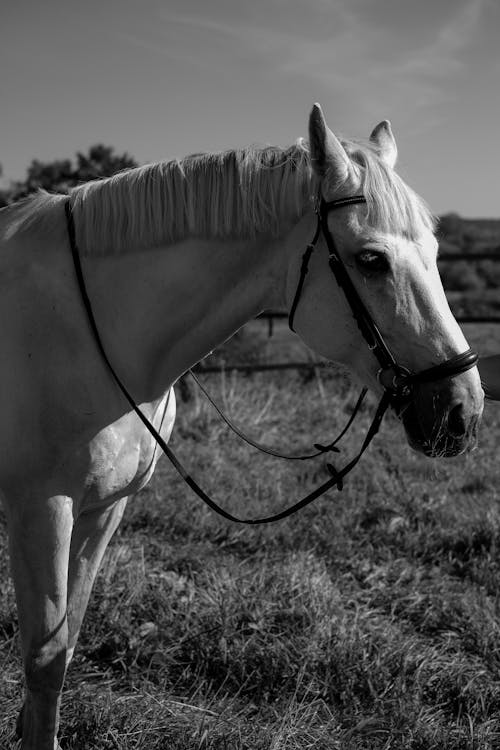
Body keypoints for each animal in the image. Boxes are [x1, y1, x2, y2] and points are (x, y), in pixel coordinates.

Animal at [0, 103, 484, 748]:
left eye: (433, 250)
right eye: (370, 260)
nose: (463, 411)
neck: (85, 324)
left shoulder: (104, 508)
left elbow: (65, 641)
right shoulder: (42, 509)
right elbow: (45, 658)